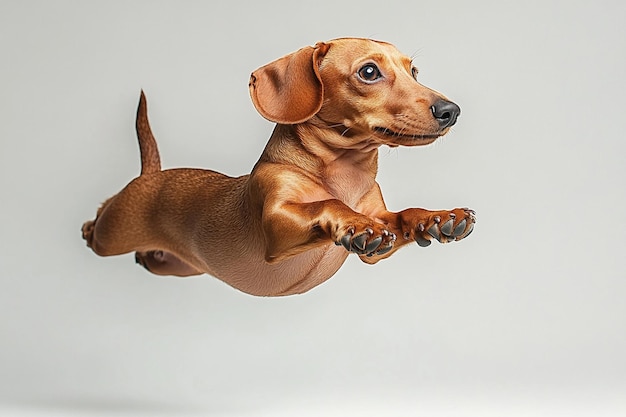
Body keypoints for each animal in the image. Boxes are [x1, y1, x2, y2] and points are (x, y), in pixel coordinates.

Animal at [81, 36, 472, 296]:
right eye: (369, 71)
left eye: (414, 71)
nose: (451, 111)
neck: (344, 173)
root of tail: (152, 176)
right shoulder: (277, 224)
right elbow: (327, 204)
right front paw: (356, 223)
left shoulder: (379, 245)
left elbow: (402, 216)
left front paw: (439, 218)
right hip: (112, 236)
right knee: (99, 224)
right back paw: (88, 225)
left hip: (173, 266)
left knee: (146, 260)